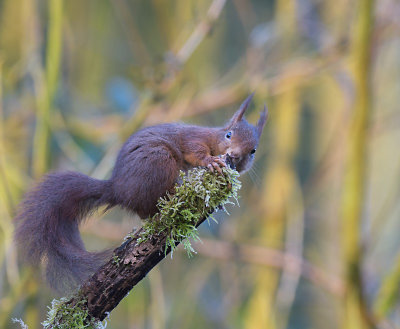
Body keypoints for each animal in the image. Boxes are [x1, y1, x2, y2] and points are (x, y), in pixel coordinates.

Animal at [14, 93, 268, 290]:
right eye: (229, 135)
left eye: (253, 150)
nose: (234, 155)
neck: (214, 137)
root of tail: (118, 188)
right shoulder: (193, 139)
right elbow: (195, 151)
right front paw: (211, 161)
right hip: (160, 161)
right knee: (147, 209)